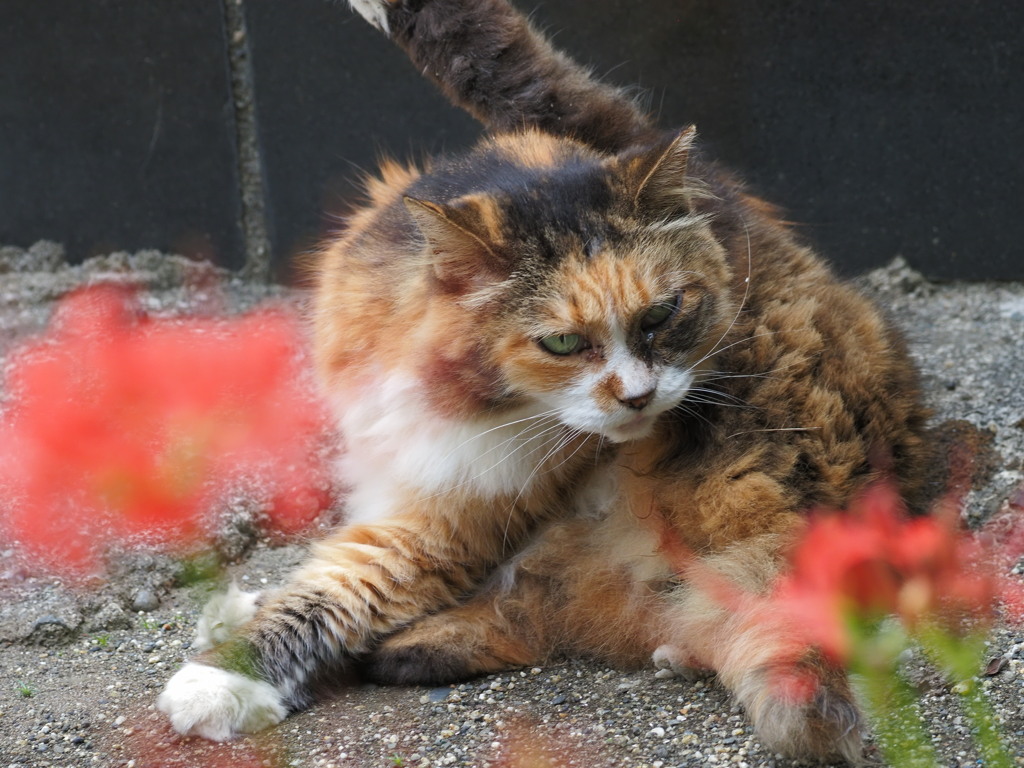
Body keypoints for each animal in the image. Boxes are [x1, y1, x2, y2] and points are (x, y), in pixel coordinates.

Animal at [155, 0, 933, 765]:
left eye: (662, 315)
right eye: (561, 342)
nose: (638, 398)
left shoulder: (451, 518)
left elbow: (336, 595)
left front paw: (219, 682)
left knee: (537, 608)